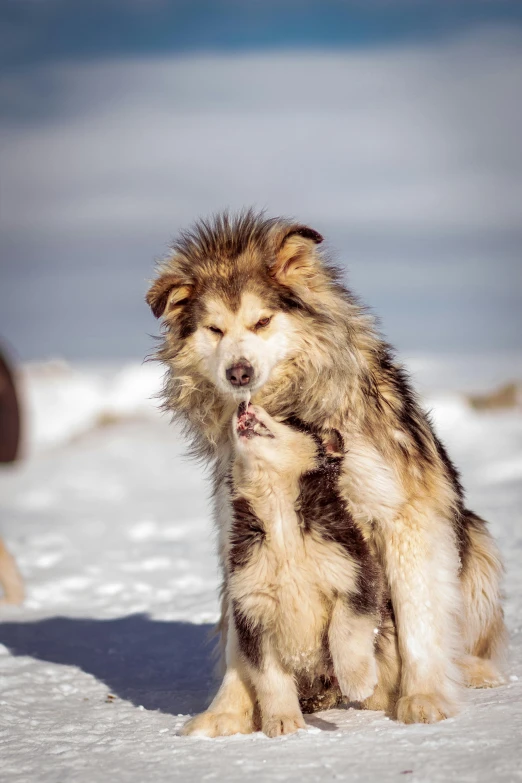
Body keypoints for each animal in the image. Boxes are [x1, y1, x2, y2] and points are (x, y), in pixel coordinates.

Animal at [146, 210, 504, 736]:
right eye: (213, 329)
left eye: (262, 321)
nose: (238, 372)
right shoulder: (236, 536)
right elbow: (241, 642)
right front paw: (228, 713)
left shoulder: (401, 514)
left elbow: (416, 615)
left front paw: (422, 698)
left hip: (475, 540)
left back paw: (473, 670)